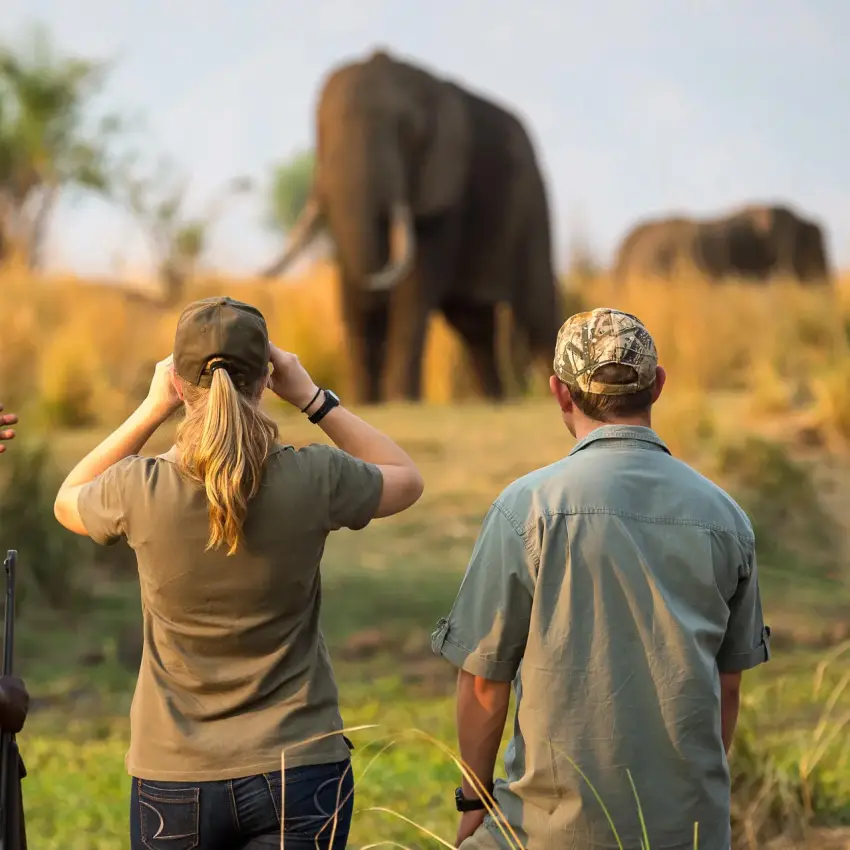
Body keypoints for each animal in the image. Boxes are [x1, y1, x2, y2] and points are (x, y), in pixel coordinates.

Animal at [259, 49, 563, 404]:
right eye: (320, 130)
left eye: (409, 132)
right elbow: (350, 280)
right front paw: (366, 403)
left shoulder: (444, 192)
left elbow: (414, 286)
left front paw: (401, 402)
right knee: (475, 326)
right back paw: (495, 402)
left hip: (534, 200)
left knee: (537, 314)